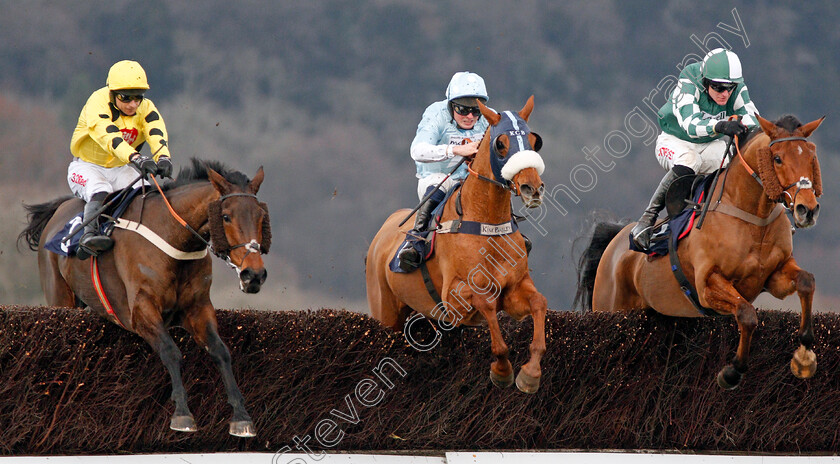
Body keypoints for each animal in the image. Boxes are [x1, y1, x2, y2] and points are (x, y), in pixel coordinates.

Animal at [17, 159, 270, 436]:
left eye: (261, 216)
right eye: (226, 217)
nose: (254, 275)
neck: (174, 238)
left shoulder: (198, 307)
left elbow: (220, 351)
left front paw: (241, 417)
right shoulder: (141, 310)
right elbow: (171, 351)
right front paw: (182, 414)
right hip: (60, 297)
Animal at [364, 96, 548, 394]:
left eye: (534, 140)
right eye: (500, 143)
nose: (532, 188)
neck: (486, 223)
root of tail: (383, 232)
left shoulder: (514, 289)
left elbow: (538, 302)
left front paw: (530, 373)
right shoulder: (454, 297)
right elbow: (485, 303)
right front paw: (502, 370)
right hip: (386, 311)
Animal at [576, 115, 824, 388]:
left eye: (811, 156)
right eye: (777, 158)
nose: (807, 210)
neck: (752, 217)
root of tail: (616, 239)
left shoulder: (774, 275)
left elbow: (807, 281)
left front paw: (805, 355)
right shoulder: (707, 284)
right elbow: (747, 314)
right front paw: (732, 371)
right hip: (610, 308)